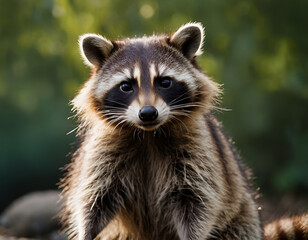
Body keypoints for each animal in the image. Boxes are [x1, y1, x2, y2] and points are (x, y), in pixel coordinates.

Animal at [59, 23, 306, 240]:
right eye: (126, 86)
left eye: (165, 82)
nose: (147, 113)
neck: (148, 135)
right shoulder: (103, 151)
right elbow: (94, 200)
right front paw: (86, 231)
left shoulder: (199, 149)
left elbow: (199, 202)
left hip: (242, 216)